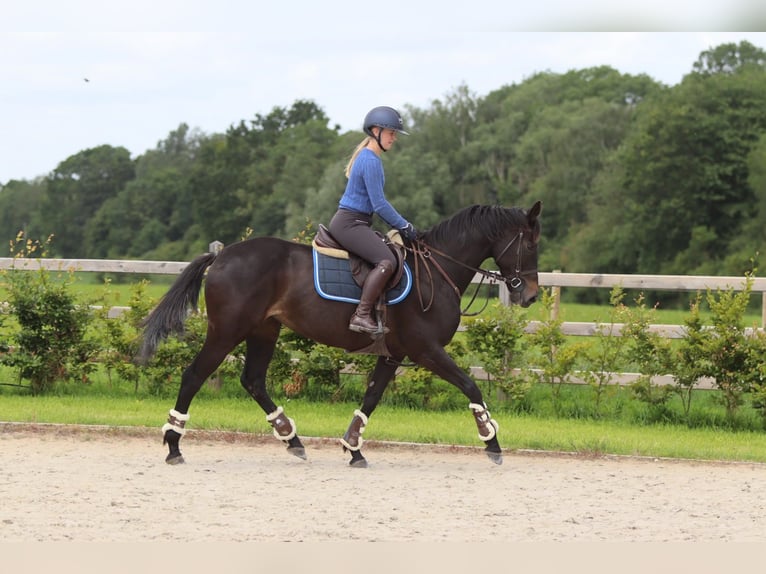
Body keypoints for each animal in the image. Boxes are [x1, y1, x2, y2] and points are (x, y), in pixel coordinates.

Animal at [138, 201, 542, 467]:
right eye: (530, 244)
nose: (532, 295)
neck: (437, 270)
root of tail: (222, 257)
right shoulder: (425, 349)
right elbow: (471, 387)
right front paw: (492, 442)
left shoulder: (393, 353)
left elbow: (372, 397)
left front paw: (353, 447)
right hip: (226, 331)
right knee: (194, 375)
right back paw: (173, 445)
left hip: (263, 331)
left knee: (253, 380)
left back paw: (292, 438)